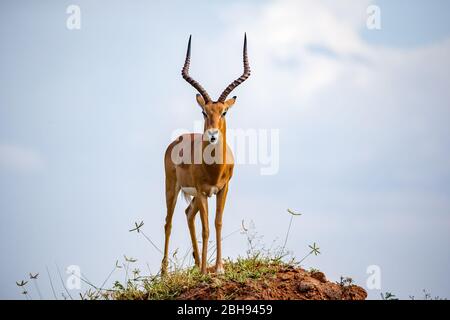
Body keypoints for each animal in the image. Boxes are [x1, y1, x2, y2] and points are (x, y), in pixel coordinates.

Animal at [162, 34, 251, 276]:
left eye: (224, 111)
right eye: (204, 112)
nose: (212, 134)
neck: (213, 168)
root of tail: (177, 140)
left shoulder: (222, 189)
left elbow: (217, 223)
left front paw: (218, 268)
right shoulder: (203, 192)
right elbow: (206, 229)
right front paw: (205, 271)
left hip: (192, 197)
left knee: (187, 214)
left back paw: (195, 265)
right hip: (172, 187)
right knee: (168, 222)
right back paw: (165, 273)